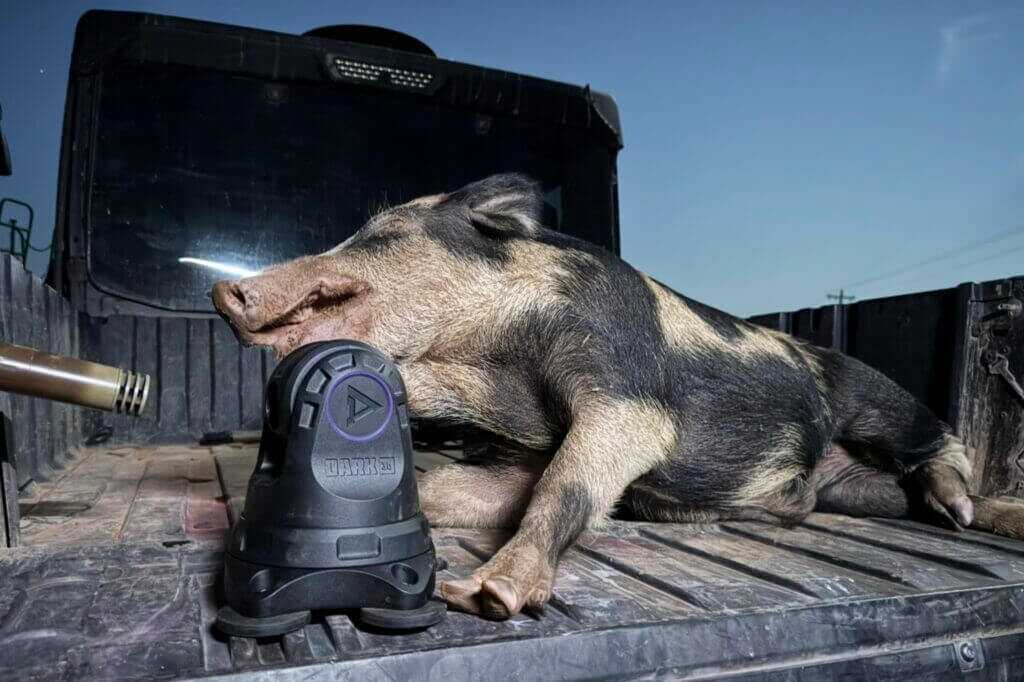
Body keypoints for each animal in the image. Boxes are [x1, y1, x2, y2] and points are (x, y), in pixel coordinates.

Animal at [213, 173, 1024, 620]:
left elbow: (568, 485)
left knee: (934, 437)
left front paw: (484, 598)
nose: (225, 292)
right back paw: (959, 516)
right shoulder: (516, 454)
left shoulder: (629, 401)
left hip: (869, 395)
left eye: (379, 233)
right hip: (855, 491)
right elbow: (469, 491)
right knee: (899, 495)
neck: (494, 372)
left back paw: (961, 507)